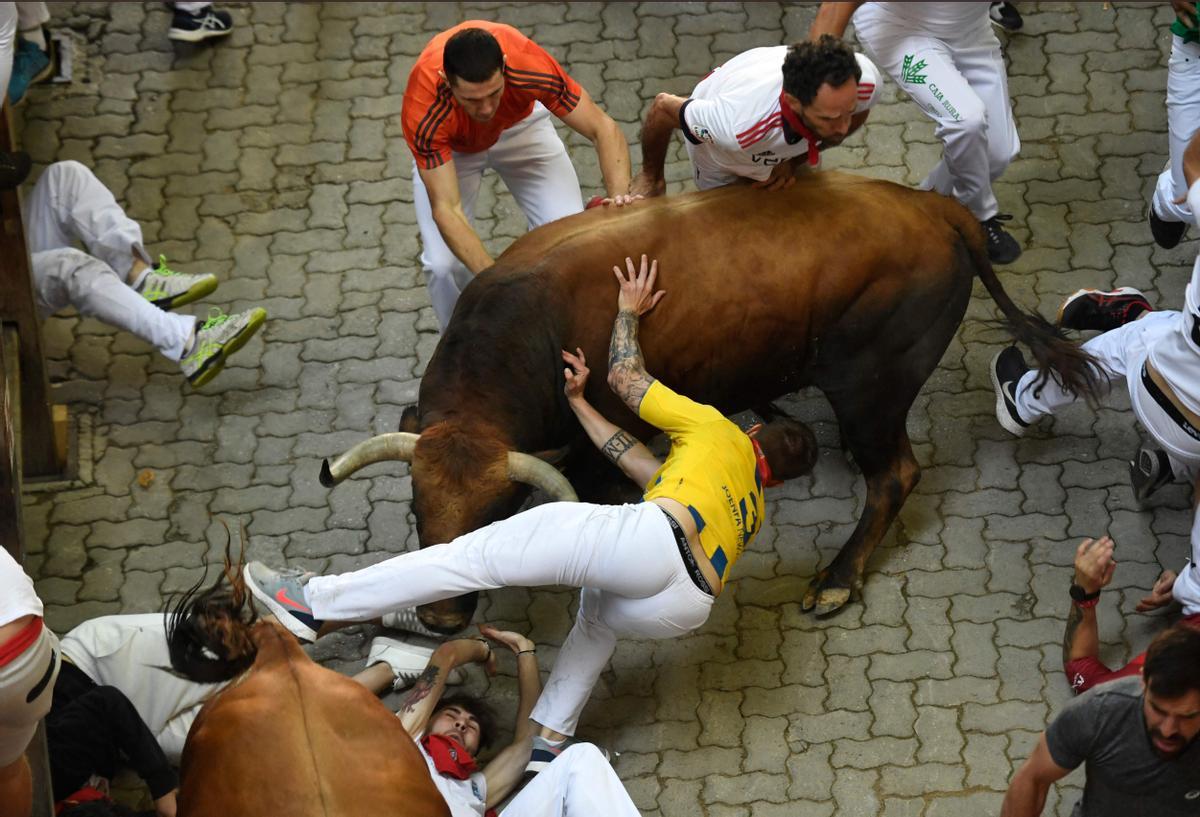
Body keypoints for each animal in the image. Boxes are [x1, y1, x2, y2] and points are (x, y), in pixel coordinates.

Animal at [324, 170, 1099, 628]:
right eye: (415, 507)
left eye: (496, 512)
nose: (442, 621)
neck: (527, 330)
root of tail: (932, 208)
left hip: (871, 390)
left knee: (895, 474)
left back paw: (837, 578)